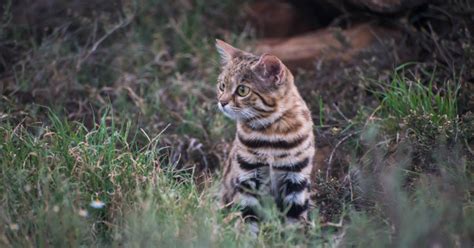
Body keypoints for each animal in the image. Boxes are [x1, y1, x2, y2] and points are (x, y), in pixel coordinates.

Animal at [217, 39, 316, 231]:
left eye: (242, 90)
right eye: (222, 86)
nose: (221, 102)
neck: (271, 133)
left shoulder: (296, 178)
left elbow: (295, 222)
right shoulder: (248, 177)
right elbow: (248, 218)